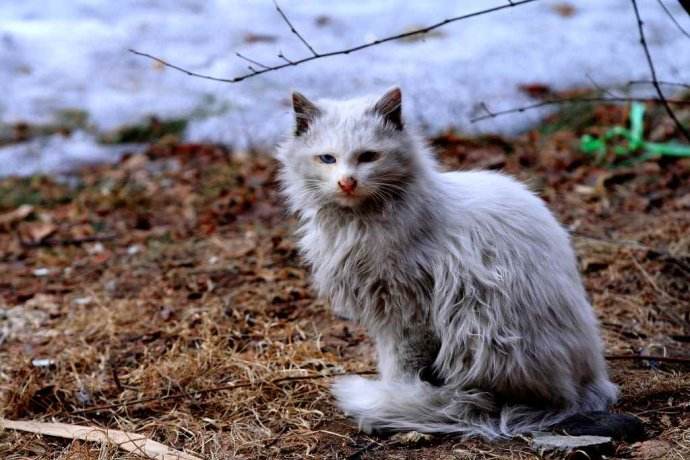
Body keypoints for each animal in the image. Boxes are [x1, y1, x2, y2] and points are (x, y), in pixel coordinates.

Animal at [276, 88, 616, 436]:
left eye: (368, 157)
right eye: (327, 159)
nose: (347, 182)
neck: (356, 225)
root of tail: (589, 387)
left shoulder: (408, 314)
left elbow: (399, 367)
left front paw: (396, 394)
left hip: (478, 322)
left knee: (483, 400)